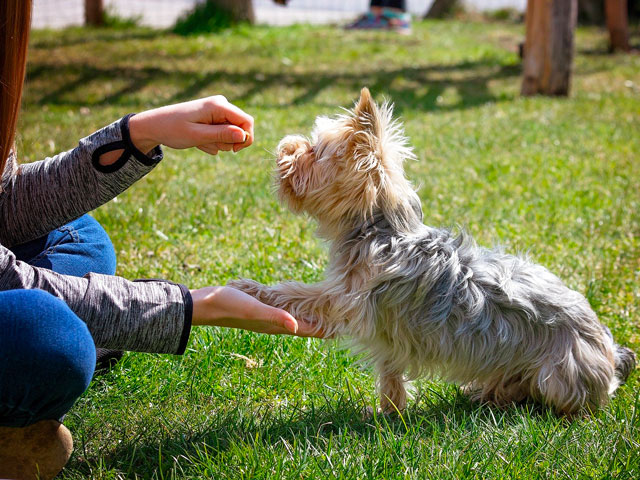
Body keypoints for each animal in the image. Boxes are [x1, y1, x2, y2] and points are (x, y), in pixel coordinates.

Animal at [228, 88, 632, 414]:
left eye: (314, 151)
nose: (285, 146)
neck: (379, 229)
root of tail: (610, 352)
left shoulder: (346, 300)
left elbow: (297, 293)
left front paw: (249, 289)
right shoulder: (385, 332)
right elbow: (390, 373)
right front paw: (389, 413)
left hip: (559, 374)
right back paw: (486, 393)